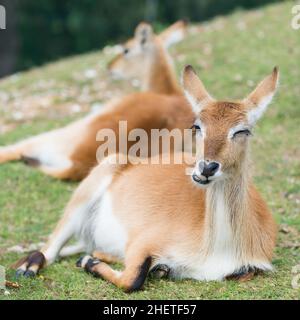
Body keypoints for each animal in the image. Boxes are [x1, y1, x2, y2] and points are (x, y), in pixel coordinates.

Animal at [14, 65, 278, 292]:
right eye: (197, 126)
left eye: (242, 130)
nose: (206, 168)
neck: (217, 248)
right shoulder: (142, 241)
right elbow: (132, 279)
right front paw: (88, 264)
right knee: (48, 251)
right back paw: (27, 268)